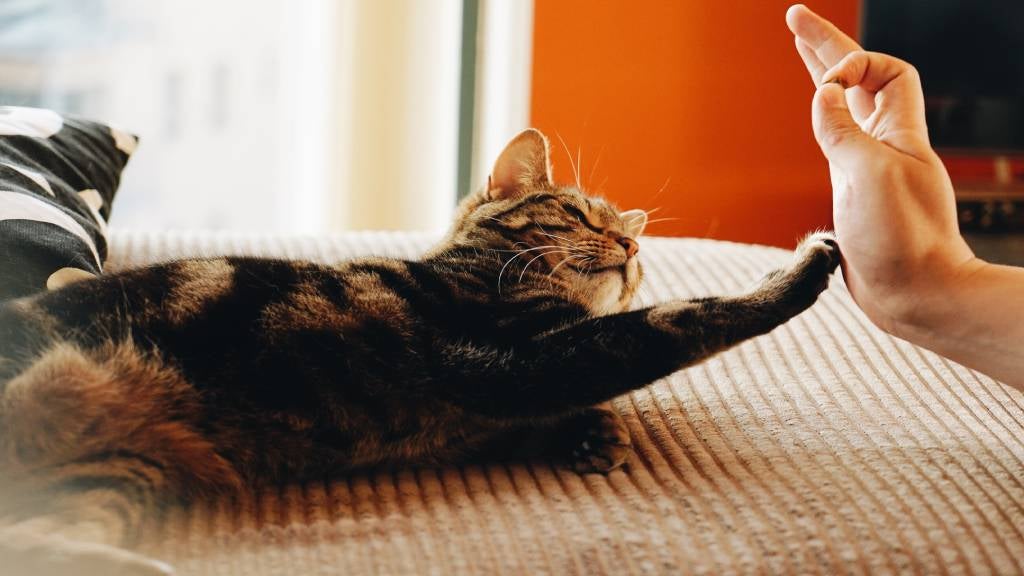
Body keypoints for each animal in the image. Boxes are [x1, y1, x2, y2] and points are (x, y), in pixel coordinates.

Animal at [0, 127, 839, 569]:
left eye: (633, 240)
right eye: (579, 215)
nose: (632, 245)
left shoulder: (513, 388)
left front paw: (595, 435)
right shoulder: (514, 361)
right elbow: (673, 324)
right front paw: (801, 268)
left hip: (104, 477)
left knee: (43, 544)